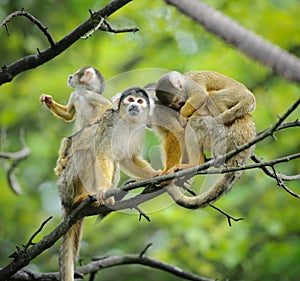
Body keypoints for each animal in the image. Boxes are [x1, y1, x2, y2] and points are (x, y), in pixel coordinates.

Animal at [57, 86, 158, 278]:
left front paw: (159, 174)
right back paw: (80, 199)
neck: (127, 123)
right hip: (65, 186)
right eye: (130, 100)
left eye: (140, 101)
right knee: (86, 154)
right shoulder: (111, 124)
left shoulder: (138, 130)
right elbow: (104, 155)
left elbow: (128, 159)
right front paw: (103, 190)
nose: (134, 106)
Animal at [155, 70, 255, 208]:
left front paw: (182, 115)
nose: (178, 105)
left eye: (176, 100)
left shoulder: (191, 83)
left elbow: (200, 95)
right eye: (172, 103)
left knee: (211, 101)